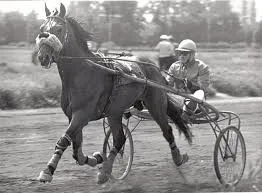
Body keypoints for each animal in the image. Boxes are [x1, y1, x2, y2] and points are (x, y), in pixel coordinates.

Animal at [36, 3, 192, 183]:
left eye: (59, 29)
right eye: (42, 28)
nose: (42, 57)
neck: (82, 72)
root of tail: (151, 65)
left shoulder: (82, 114)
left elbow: (63, 140)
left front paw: (47, 171)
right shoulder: (72, 116)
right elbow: (77, 151)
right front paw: (97, 157)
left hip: (155, 104)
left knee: (167, 130)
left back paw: (178, 157)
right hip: (115, 111)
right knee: (119, 139)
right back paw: (105, 170)